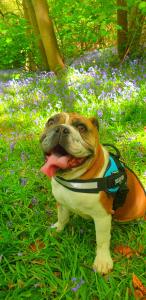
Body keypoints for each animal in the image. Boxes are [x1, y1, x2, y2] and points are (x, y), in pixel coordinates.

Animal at [40, 112, 146, 274]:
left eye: (81, 127)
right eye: (51, 122)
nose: (61, 129)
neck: (75, 178)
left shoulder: (102, 216)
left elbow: (102, 240)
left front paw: (102, 261)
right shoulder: (62, 203)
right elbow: (62, 218)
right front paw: (57, 229)